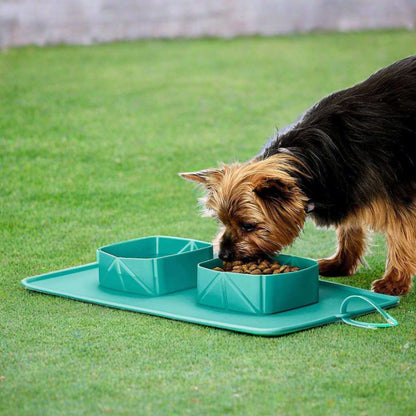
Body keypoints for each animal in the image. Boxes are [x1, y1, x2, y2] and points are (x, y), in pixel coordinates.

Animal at [181, 56, 416, 296]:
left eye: (248, 226)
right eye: (222, 221)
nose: (224, 255)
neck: (308, 160)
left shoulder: (396, 195)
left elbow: (400, 236)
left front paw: (394, 281)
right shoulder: (346, 188)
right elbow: (350, 227)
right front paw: (340, 263)